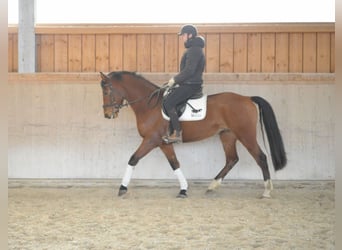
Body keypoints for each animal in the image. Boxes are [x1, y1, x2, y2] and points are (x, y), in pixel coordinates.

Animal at [100, 70, 288, 197]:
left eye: (107, 91)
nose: (108, 115)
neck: (149, 105)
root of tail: (247, 98)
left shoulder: (151, 140)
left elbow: (133, 159)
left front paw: (122, 188)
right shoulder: (163, 143)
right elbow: (175, 163)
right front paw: (184, 189)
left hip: (245, 135)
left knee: (260, 157)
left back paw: (266, 191)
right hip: (227, 135)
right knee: (232, 159)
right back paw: (212, 186)